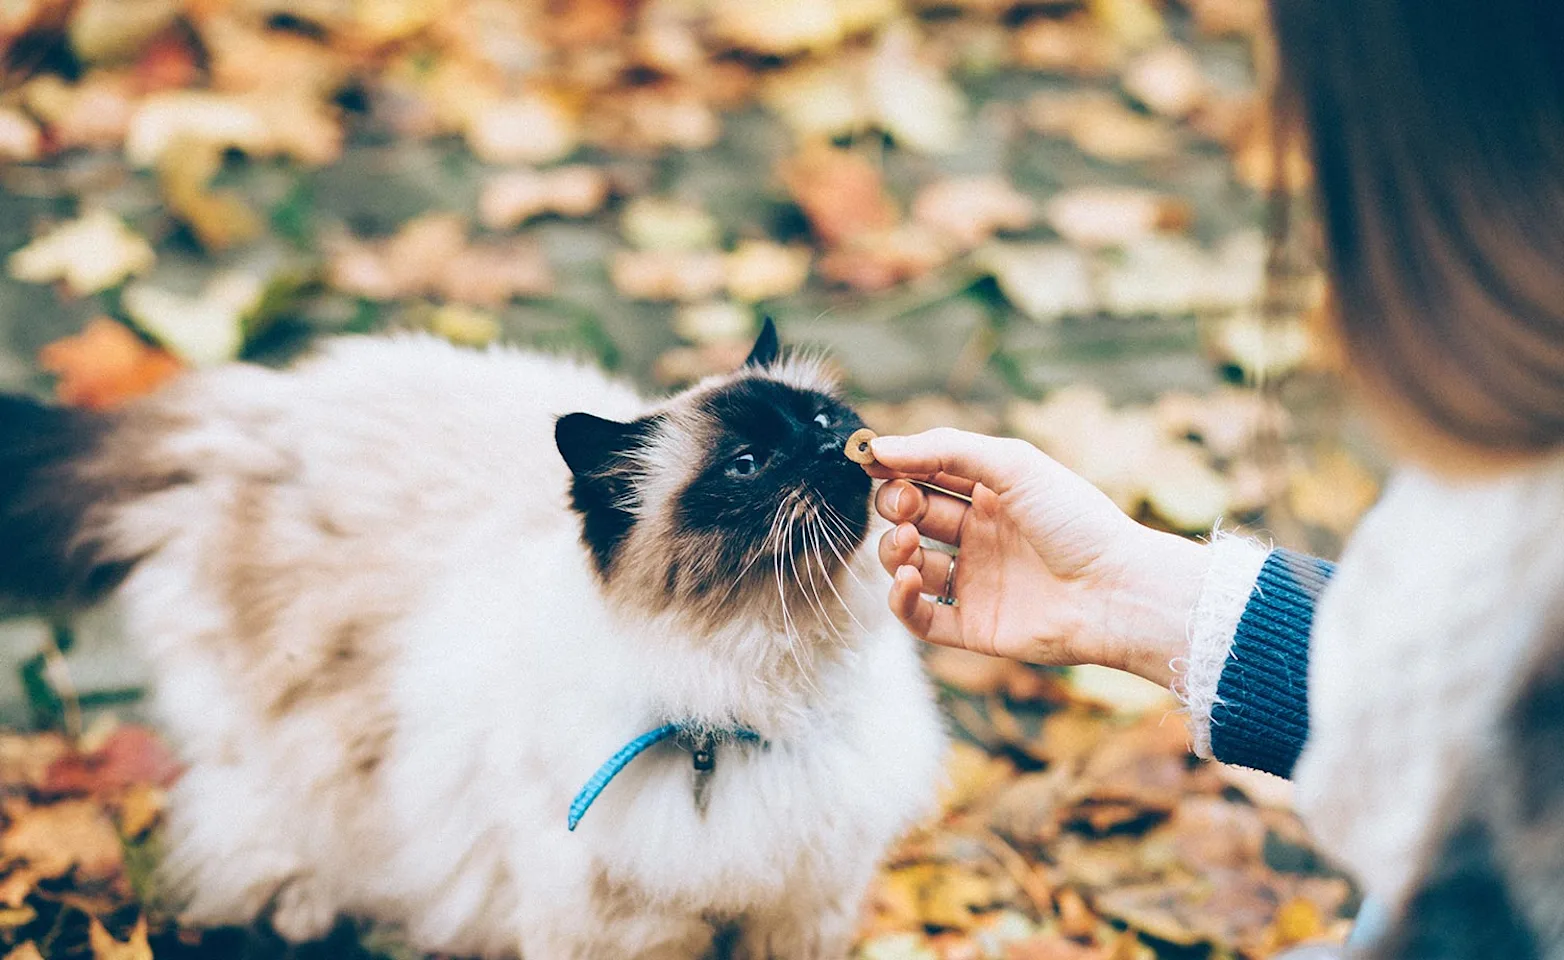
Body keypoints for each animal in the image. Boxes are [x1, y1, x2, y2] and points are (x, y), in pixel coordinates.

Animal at [0, 323, 944, 960]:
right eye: (747, 465)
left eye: (820, 419)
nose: (836, 445)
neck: (759, 700)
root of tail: (257, 406)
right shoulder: (620, 931)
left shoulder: (801, 911)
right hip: (293, 745)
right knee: (251, 823)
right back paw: (306, 906)